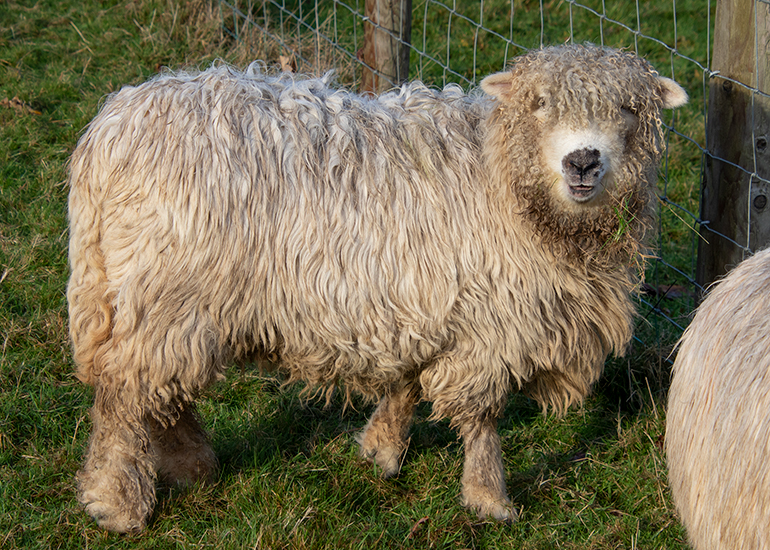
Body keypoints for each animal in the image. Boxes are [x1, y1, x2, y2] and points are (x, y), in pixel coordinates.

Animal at [67, 44, 688, 533]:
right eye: (537, 105)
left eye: (629, 110)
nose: (583, 161)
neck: (506, 182)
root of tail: (110, 129)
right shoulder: (488, 323)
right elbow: (481, 417)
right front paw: (489, 497)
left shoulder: (421, 303)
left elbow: (406, 382)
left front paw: (381, 449)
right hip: (167, 293)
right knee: (124, 391)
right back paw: (117, 501)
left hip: (163, 303)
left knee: (155, 387)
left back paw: (192, 466)